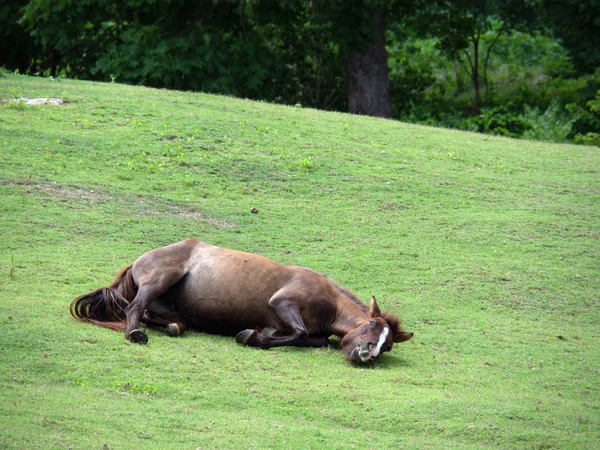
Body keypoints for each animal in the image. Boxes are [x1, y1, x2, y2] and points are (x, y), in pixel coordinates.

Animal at [70, 239, 412, 362]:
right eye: (369, 325)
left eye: (387, 346)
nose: (368, 355)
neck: (328, 300)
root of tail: (139, 260)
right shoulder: (281, 303)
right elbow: (299, 333)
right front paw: (252, 336)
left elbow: (314, 339)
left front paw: (264, 335)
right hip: (159, 280)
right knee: (134, 309)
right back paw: (134, 334)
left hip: (175, 313)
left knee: (167, 321)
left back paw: (165, 327)